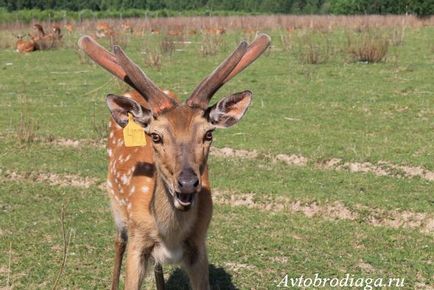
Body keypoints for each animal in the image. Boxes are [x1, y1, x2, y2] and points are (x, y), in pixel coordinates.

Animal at [76, 32, 270, 290]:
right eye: (156, 136)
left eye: (208, 134)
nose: (187, 183)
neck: (170, 237)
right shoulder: (138, 240)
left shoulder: (199, 246)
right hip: (116, 206)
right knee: (118, 242)